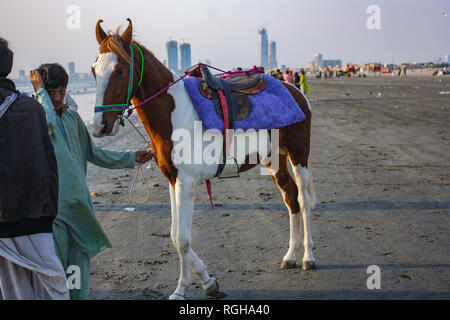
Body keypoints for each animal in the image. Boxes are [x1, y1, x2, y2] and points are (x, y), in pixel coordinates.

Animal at [90, 19, 316, 300]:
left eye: (120, 70)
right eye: (93, 71)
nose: (99, 126)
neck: (174, 111)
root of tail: (295, 92)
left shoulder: (186, 183)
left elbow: (183, 239)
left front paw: (181, 288)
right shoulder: (173, 181)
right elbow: (175, 236)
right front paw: (208, 282)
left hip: (299, 155)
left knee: (303, 202)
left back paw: (308, 257)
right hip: (274, 160)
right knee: (291, 199)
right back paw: (291, 255)